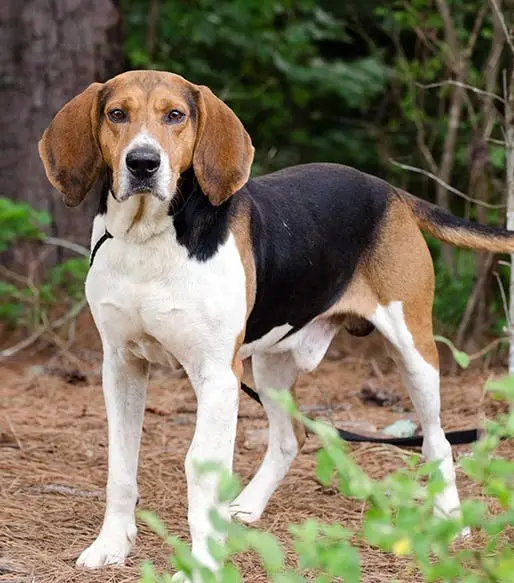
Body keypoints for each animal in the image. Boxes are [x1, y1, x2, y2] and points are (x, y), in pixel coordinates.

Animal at [37, 69, 512, 580]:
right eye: (116, 114)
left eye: (175, 115)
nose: (143, 163)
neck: (149, 238)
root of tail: (388, 189)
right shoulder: (121, 365)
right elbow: (121, 465)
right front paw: (110, 545)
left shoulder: (218, 376)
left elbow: (200, 466)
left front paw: (202, 564)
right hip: (271, 365)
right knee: (290, 438)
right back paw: (245, 506)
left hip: (413, 350)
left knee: (437, 442)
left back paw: (451, 520)